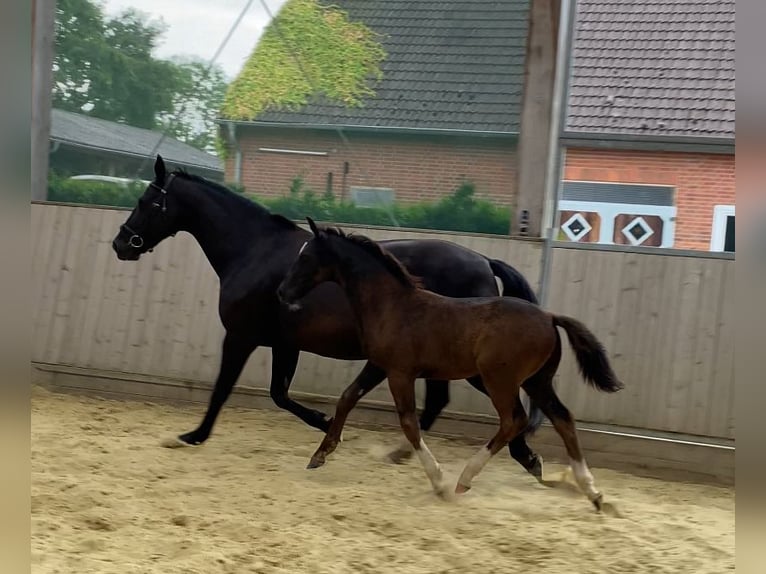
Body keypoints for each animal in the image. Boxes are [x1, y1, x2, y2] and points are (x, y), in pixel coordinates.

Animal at [276, 220, 624, 512]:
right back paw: (592, 492)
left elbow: (408, 423)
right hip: (536, 380)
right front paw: (319, 455)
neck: (392, 305)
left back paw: (465, 480)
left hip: (500, 380)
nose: (281, 292)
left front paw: (439, 482)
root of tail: (550, 317)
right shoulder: (378, 365)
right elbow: (348, 397)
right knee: (562, 418)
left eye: (307, 257)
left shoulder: (400, 373)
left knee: (514, 420)